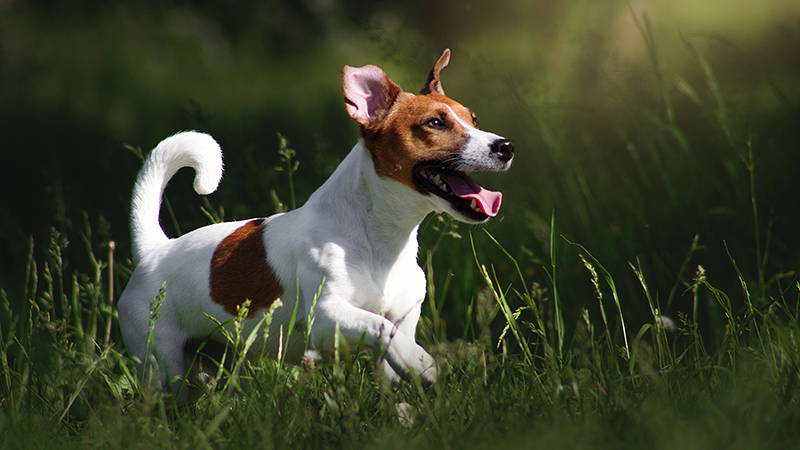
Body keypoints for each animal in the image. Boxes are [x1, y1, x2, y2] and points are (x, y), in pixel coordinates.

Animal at [118, 49, 516, 404]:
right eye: (435, 123)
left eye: (473, 119)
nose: (506, 146)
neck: (380, 240)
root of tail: (155, 249)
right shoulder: (325, 318)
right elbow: (380, 325)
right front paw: (420, 362)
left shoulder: (402, 323)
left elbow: (393, 353)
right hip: (162, 367)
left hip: (214, 365)